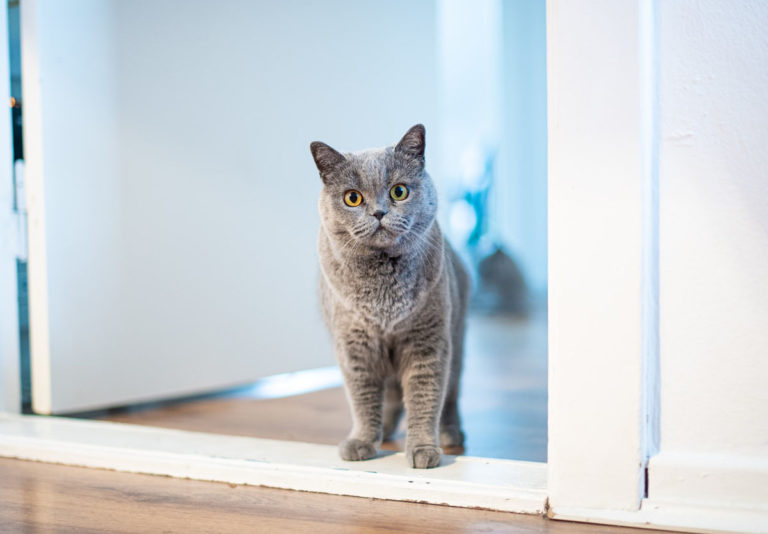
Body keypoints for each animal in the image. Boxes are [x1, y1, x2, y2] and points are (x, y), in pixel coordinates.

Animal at [310, 124, 468, 468]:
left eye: (399, 191)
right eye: (352, 198)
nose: (379, 212)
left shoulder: (428, 343)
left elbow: (425, 398)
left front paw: (423, 449)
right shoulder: (354, 348)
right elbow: (362, 399)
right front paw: (362, 441)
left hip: (457, 340)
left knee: (450, 395)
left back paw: (450, 434)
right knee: (390, 397)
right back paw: (384, 429)